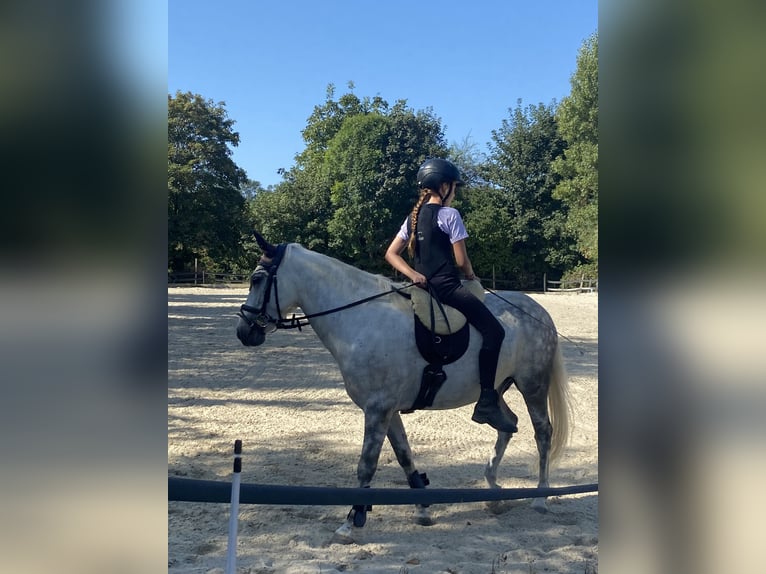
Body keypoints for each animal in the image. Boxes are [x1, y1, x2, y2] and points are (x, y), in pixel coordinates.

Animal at [236, 233, 572, 542]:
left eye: (256, 279)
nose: (243, 331)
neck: (362, 320)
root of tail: (538, 311)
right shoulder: (388, 410)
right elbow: (404, 456)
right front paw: (421, 510)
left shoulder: (377, 409)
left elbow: (366, 465)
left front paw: (350, 522)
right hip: (498, 388)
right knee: (507, 425)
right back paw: (492, 487)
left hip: (532, 385)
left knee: (542, 433)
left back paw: (540, 497)